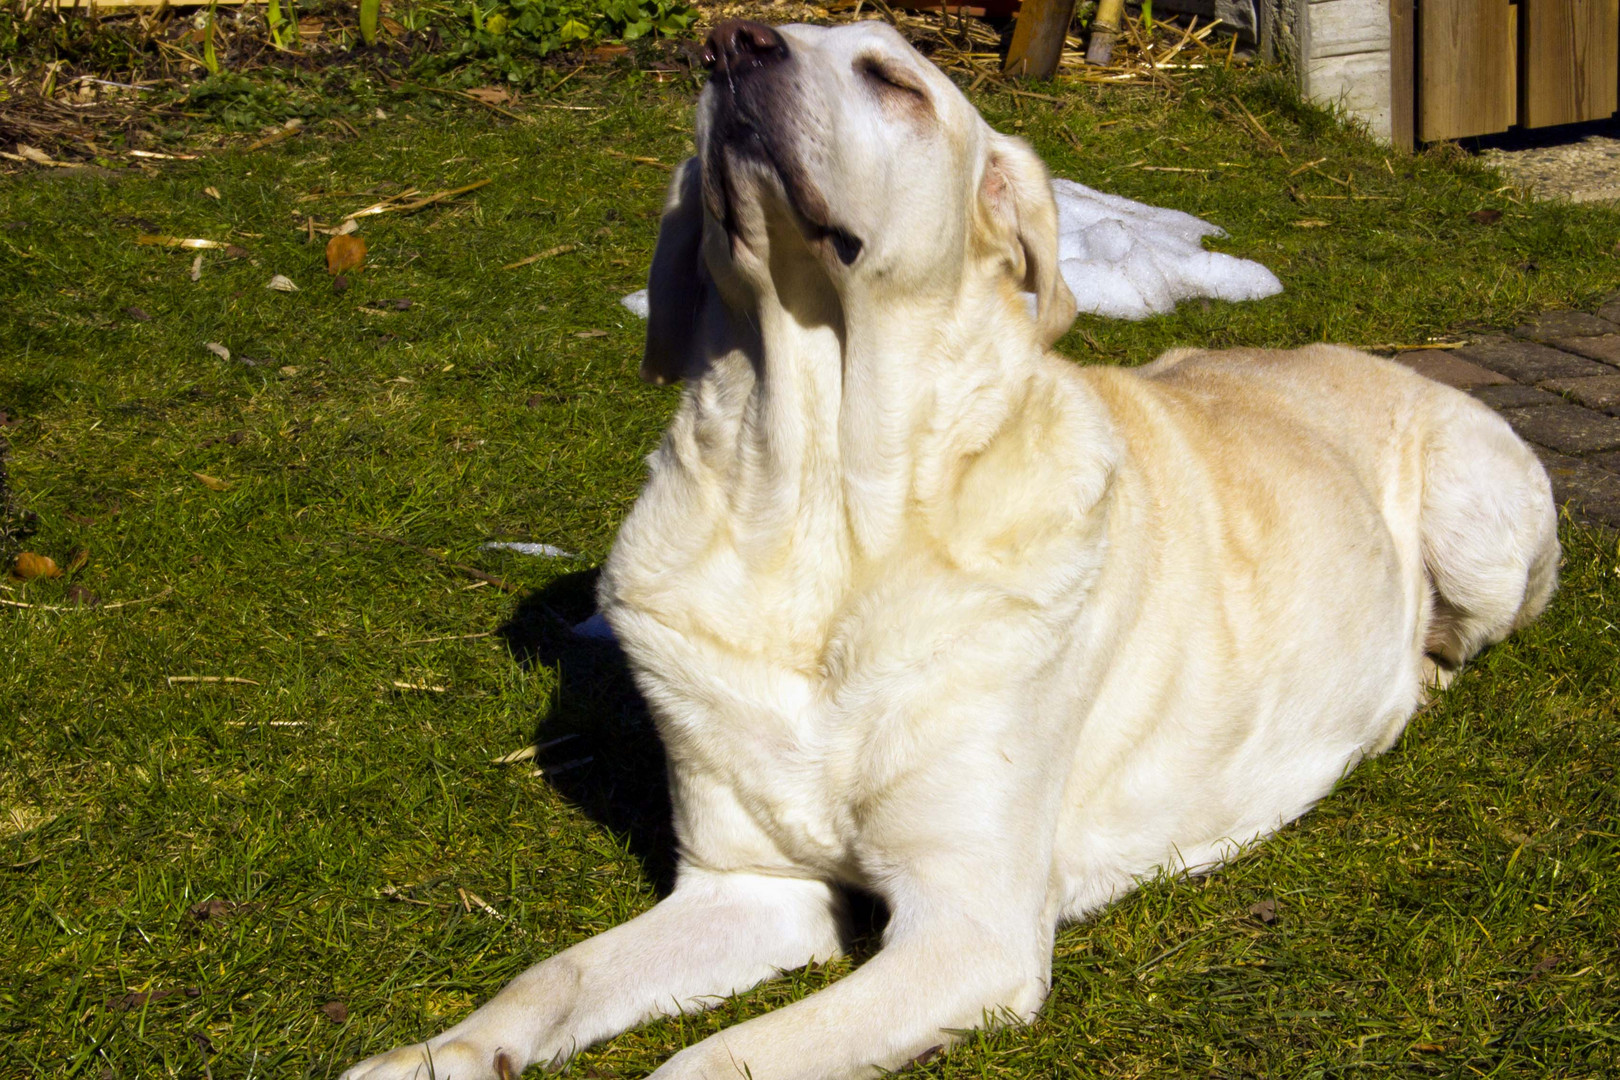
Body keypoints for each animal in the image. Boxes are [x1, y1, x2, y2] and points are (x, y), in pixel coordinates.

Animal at [348, 16, 1561, 1080]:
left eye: (894, 79)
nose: (728, 43)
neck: (819, 505)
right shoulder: (747, 882)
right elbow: (552, 978)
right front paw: (436, 1053)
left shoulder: (968, 928)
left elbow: (711, 1059)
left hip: (1476, 512)